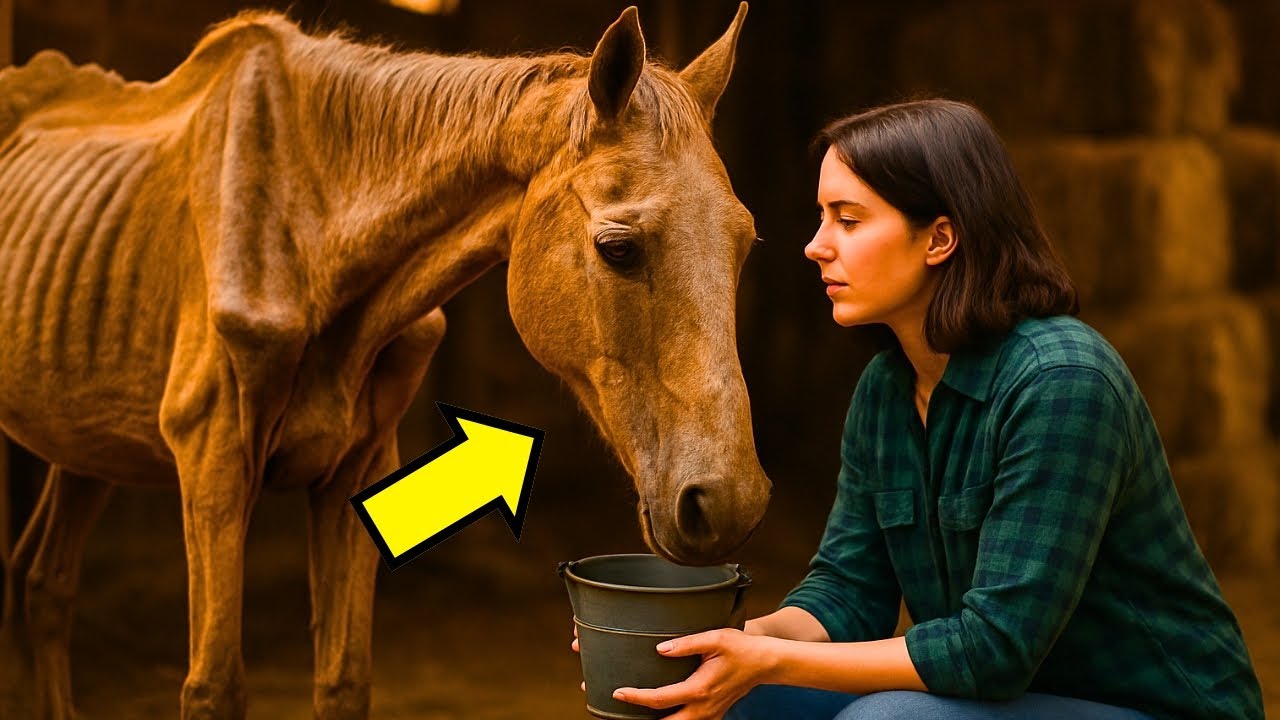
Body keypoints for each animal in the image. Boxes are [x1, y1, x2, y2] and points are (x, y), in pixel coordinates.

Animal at [0, 3, 770, 718]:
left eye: (746, 243)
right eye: (618, 248)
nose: (725, 504)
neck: (313, 230)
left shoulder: (358, 469)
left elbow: (344, 683)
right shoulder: (213, 461)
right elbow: (214, 687)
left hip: (87, 441)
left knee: (45, 580)